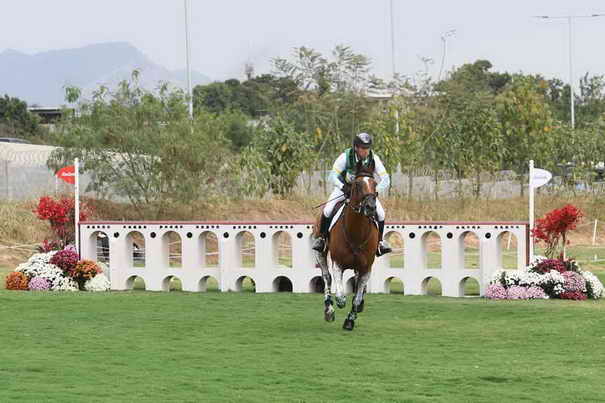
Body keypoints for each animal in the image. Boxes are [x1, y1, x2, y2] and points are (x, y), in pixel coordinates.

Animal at [312, 163, 378, 332]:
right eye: (357, 184)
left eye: (375, 184)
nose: (370, 207)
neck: (357, 232)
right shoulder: (338, 264)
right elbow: (341, 296)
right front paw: (338, 304)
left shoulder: (366, 268)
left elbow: (357, 298)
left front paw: (350, 320)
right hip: (320, 253)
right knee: (327, 277)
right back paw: (329, 310)